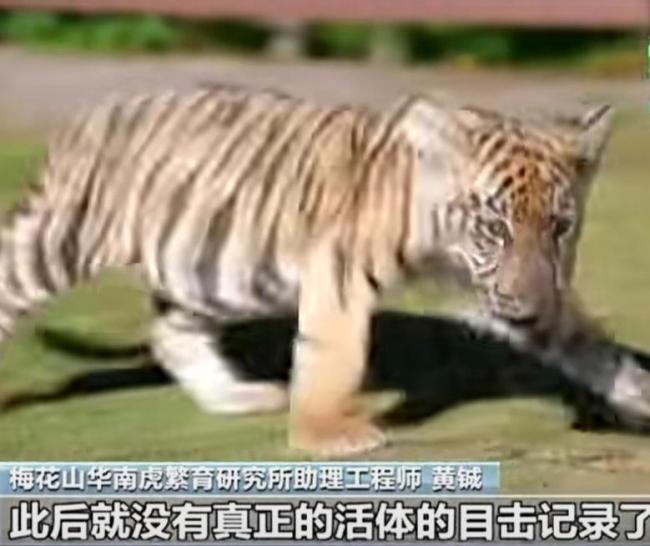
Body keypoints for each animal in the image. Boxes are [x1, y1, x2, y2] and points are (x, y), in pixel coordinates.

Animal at [0, 84, 613, 456]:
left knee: (170, 336)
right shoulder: (340, 270)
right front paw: (327, 433)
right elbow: (333, 354)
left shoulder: (507, 286)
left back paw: (237, 397)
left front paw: (624, 391)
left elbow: (586, 343)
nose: (529, 307)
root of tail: (93, 114)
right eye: (494, 229)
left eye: (560, 227)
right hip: (58, 240)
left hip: (207, 272)